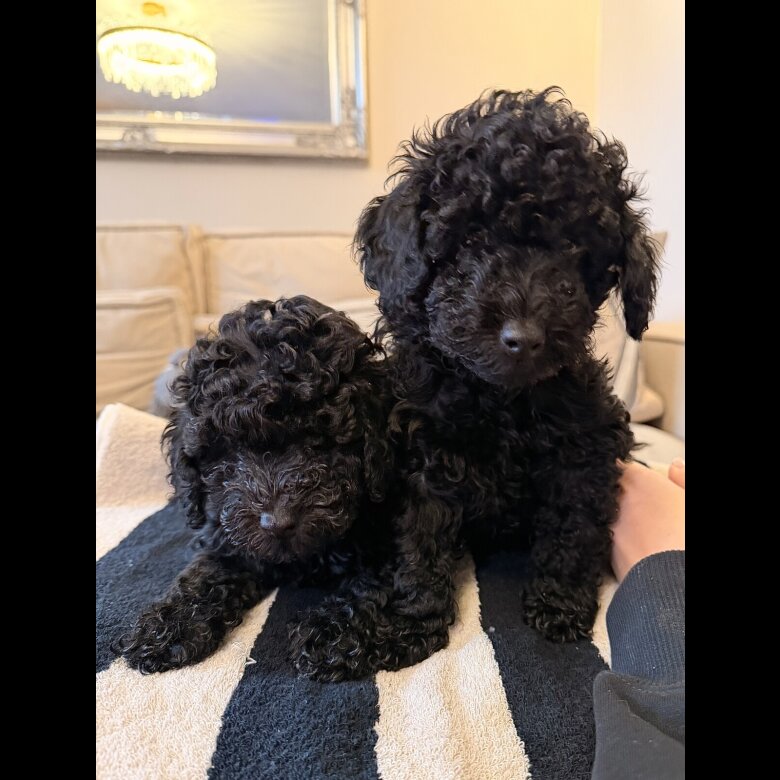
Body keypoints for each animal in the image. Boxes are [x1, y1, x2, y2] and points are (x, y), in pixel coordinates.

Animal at [113, 295, 393, 674]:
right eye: (231, 451)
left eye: (320, 440)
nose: (277, 524)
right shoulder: (228, 533)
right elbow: (206, 571)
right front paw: (168, 624)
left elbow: (379, 584)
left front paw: (339, 632)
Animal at [291, 87, 660, 681]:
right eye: (470, 240)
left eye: (575, 253)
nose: (523, 337)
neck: (500, 400)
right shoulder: (424, 454)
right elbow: (419, 544)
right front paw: (393, 625)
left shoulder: (583, 441)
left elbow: (574, 520)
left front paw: (559, 602)